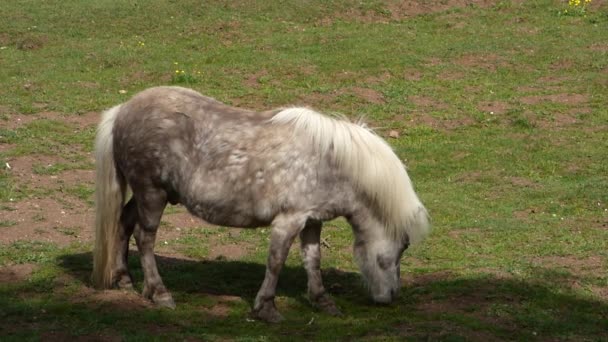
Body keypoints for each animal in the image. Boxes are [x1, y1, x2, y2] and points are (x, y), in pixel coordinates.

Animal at [92, 85, 430, 320]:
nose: (391, 296)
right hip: (152, 194)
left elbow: (313, 260)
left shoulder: (311, 220)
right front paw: (266, 308)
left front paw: (322, 301)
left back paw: (124, 279)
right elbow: (276, 262)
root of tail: (122, 111)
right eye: (403, 247)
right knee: (144, 237)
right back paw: (160, 293)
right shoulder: (288, 221)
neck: (329, 162)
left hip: (146, 194)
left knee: (123, 224)